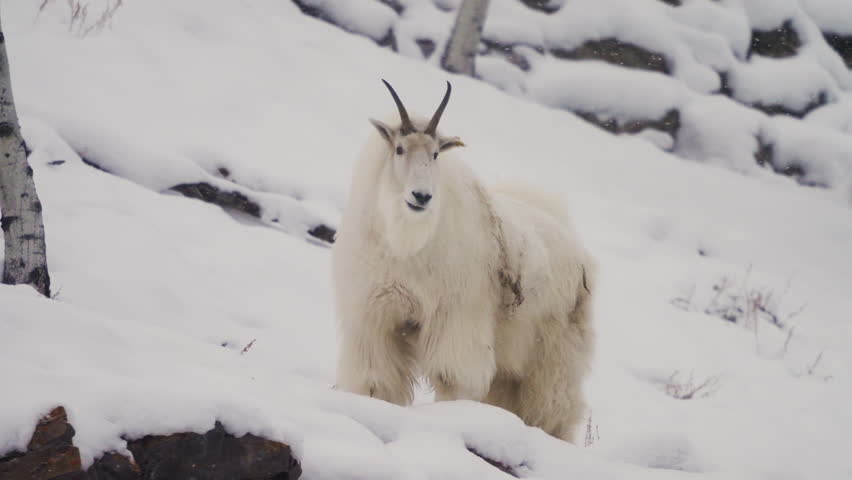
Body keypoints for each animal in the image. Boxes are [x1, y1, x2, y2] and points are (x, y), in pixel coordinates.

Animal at [333, 80, 596, 441]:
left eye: (435, 154)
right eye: (399, 149)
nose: (421, 197)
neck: (407, 244)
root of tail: (579, 251)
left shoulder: (455, 317)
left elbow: (451, 376)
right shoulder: (377, 319)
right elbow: (376, 380)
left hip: (556, 353)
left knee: (553, 408)